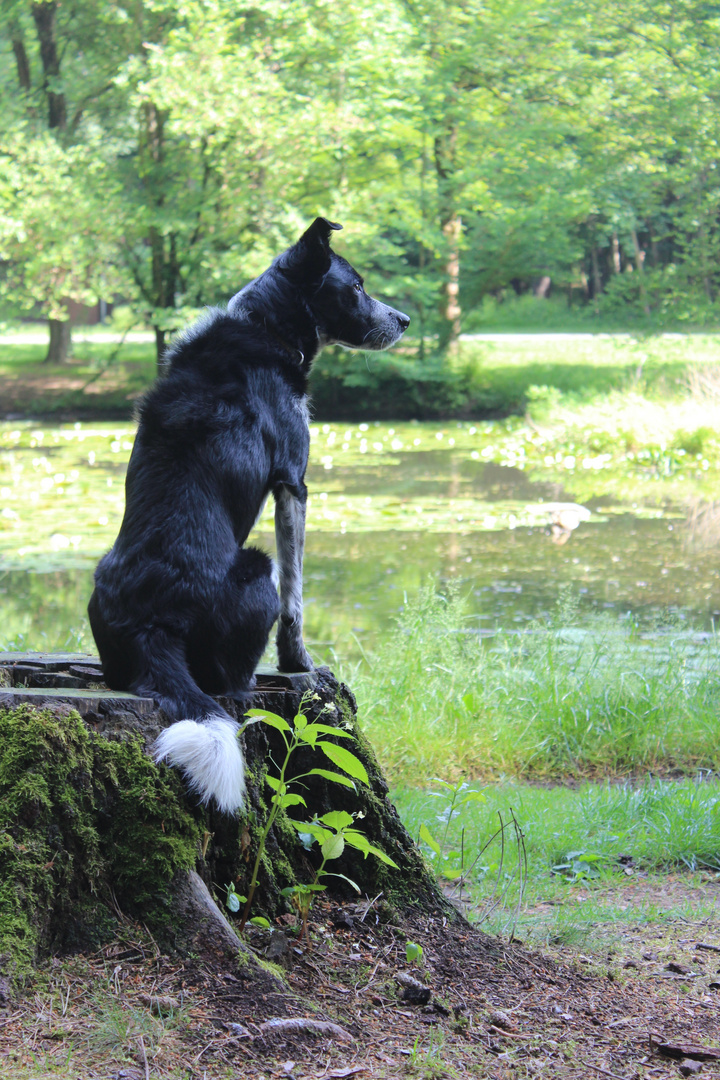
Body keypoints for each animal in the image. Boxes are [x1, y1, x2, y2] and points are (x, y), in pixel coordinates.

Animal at [87, 217, 408, 812]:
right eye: (355, 288)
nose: (404, 320)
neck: (266, 328)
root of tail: (152, 624)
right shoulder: (294, 483)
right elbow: (296, 601)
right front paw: (299, 665)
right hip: (256, 568)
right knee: (231, 685)